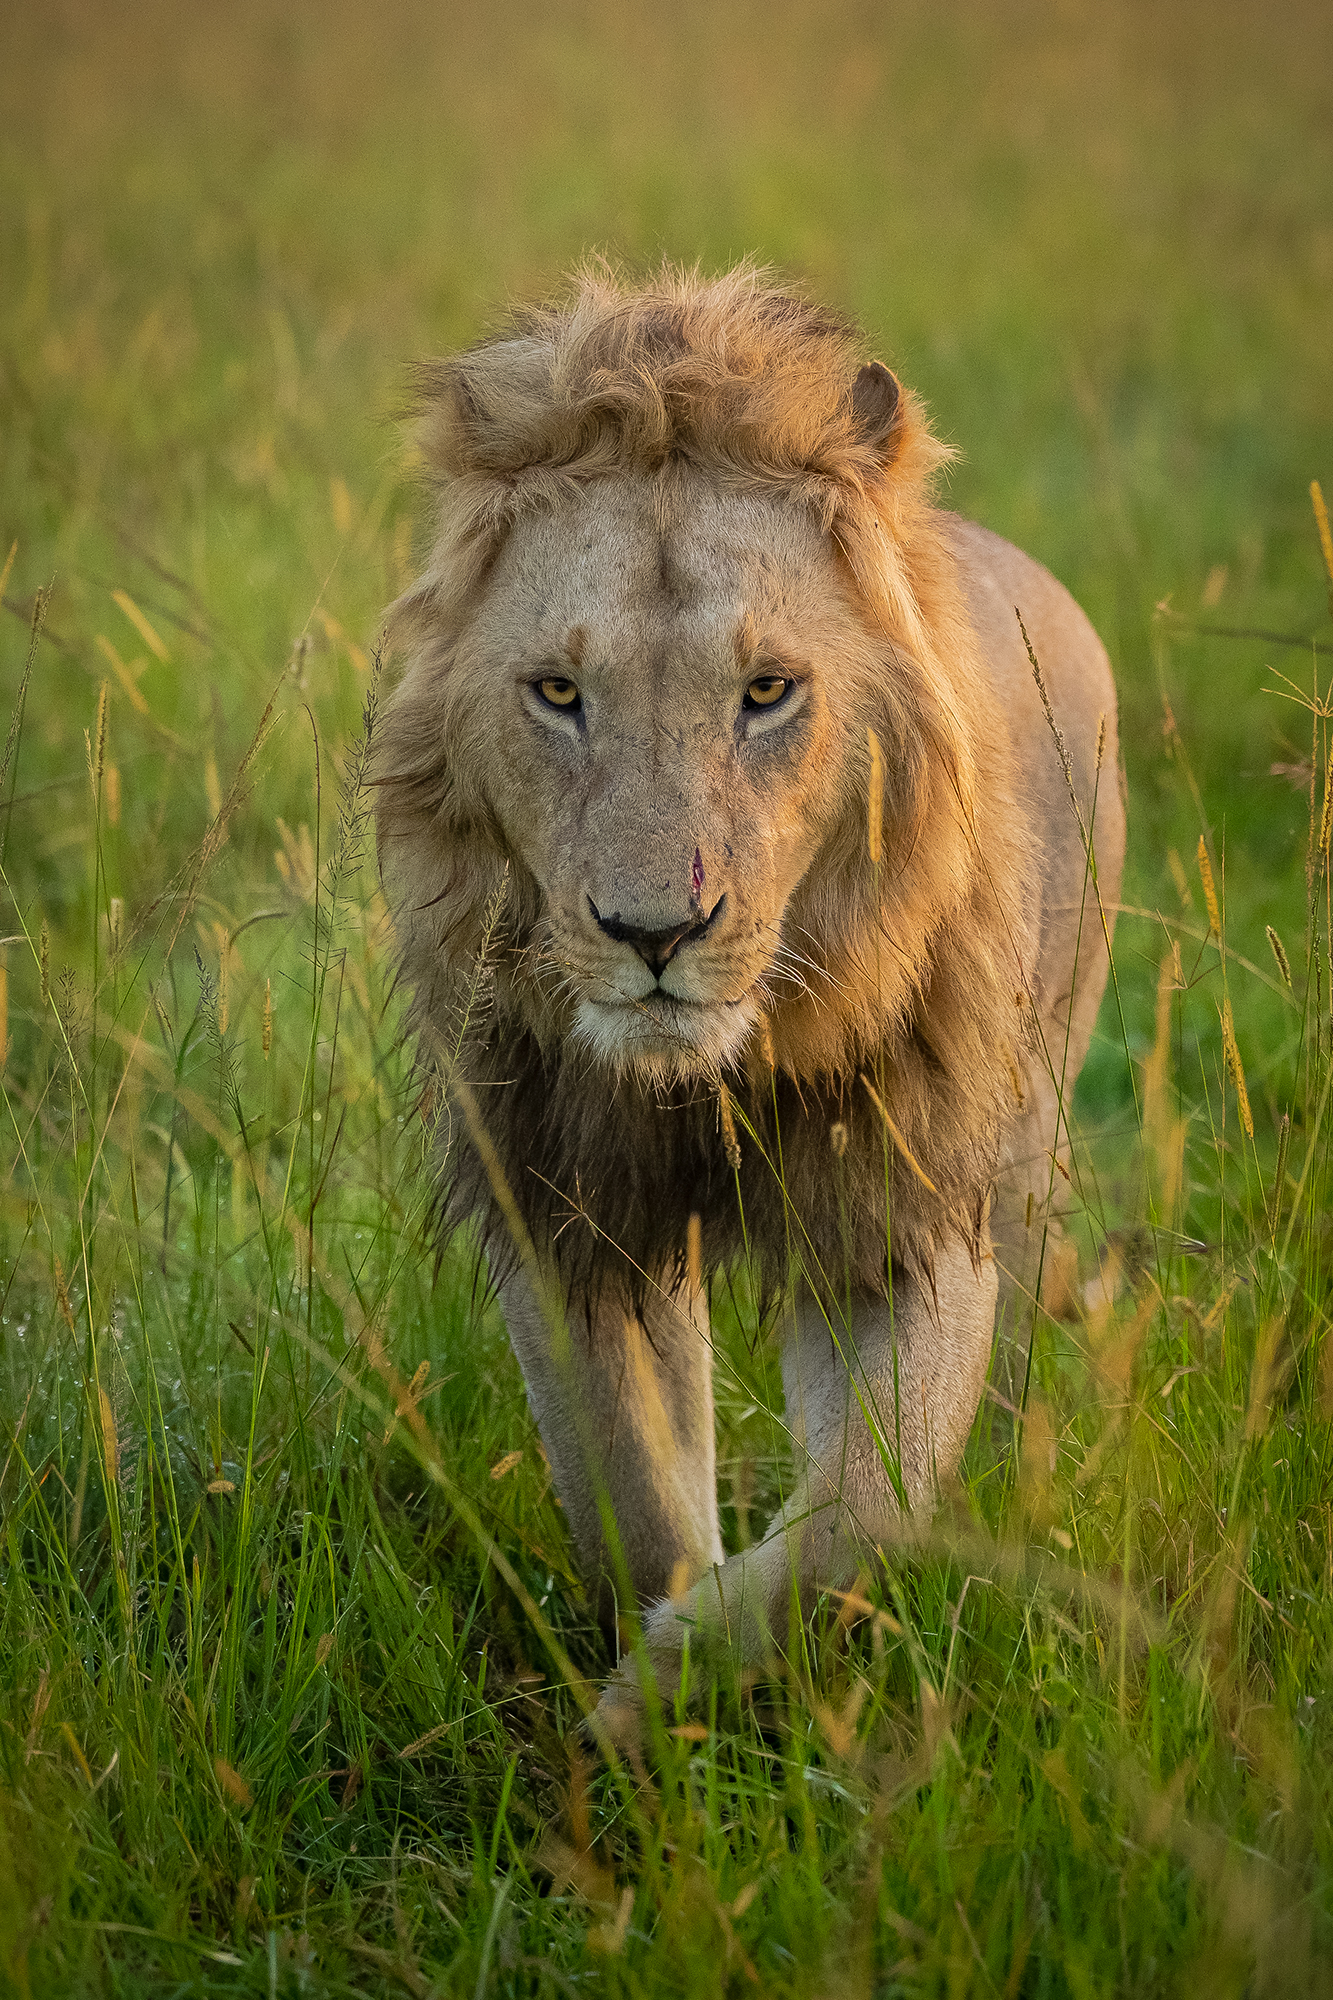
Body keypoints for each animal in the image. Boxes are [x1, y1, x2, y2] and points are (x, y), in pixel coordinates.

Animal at [375, 262, 1124, 1708]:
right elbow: (628, 1491)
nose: (654, 930)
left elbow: (857, 1520)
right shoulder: (562, 1207)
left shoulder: (903, 1215)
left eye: (767, 691)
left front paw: (667, 1687)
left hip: (1032, 1123)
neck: (706, 1080)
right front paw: (650, 1693)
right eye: (559, 692)